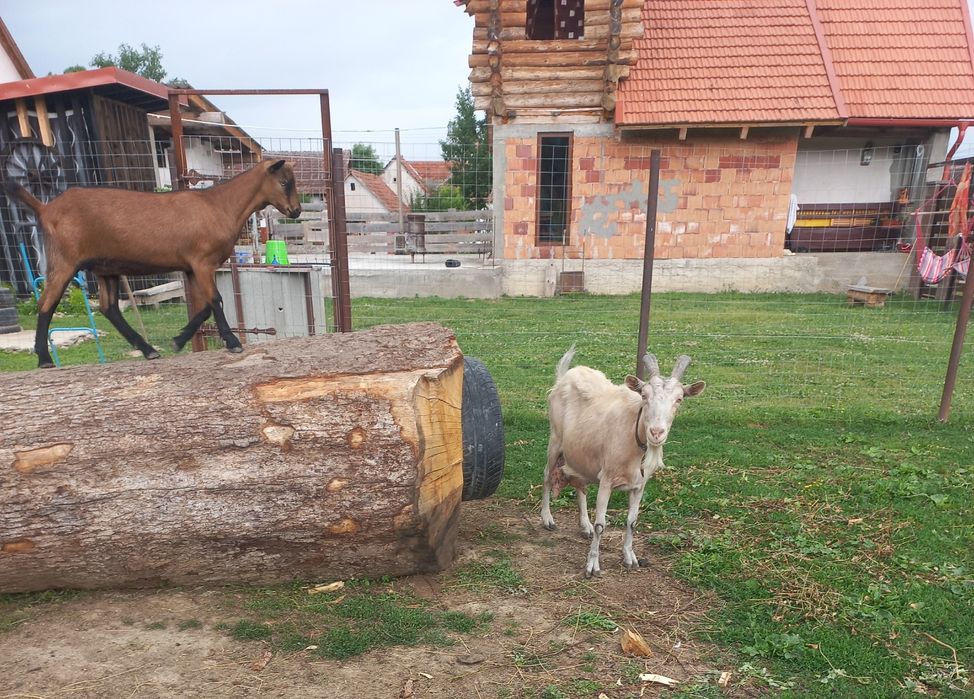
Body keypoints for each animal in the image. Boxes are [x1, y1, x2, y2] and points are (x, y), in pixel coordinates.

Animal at [6, 159, 301, 368]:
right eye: (284, 182)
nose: (296, 211)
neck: (220, 205)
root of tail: (45, 208)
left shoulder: (192, 267)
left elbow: (204, 307)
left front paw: (178, 340)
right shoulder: (202, 262)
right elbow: (216, 301)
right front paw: (232, 342)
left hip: (106, 268)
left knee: (109, 308)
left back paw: (148, 350)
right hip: (65, 260)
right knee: (47, 303)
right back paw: (44, 359)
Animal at [540, 347, 705, 578]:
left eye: (679, 399)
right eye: (644, 396)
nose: (656, 433)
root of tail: (565, 376)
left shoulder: (639, 485)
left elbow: (632, 522)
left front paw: (630, 557)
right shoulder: (607, 479)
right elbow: (601, 524)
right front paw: (592, 566)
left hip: (582, 453)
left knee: (580, 485)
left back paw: (584, 525)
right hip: (555, 440)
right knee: (547, 474)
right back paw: (547, 518)